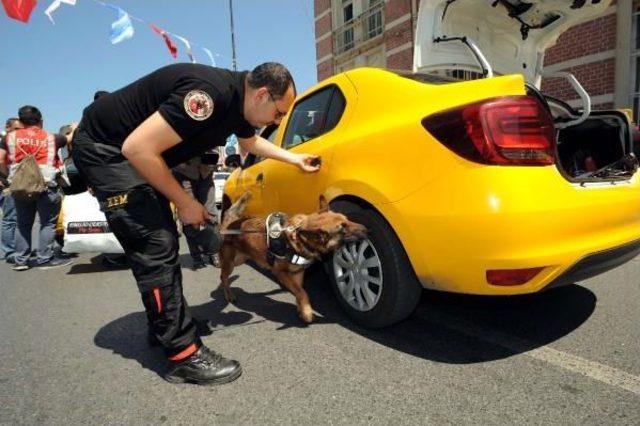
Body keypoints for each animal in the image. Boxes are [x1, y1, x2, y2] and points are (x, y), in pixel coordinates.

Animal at [218, 193, 368, 322]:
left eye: (347, 220)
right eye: (343, 229)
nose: (367, 229)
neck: (297, 238)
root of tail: (231, 224)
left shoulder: (297, 273)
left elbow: (299, 291)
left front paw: (301, 310)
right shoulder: (280, 272)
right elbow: (302, 292)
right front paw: (307, 313)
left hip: (241, 259)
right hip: (231, 262)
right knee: (223, 277)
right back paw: (229, 295)